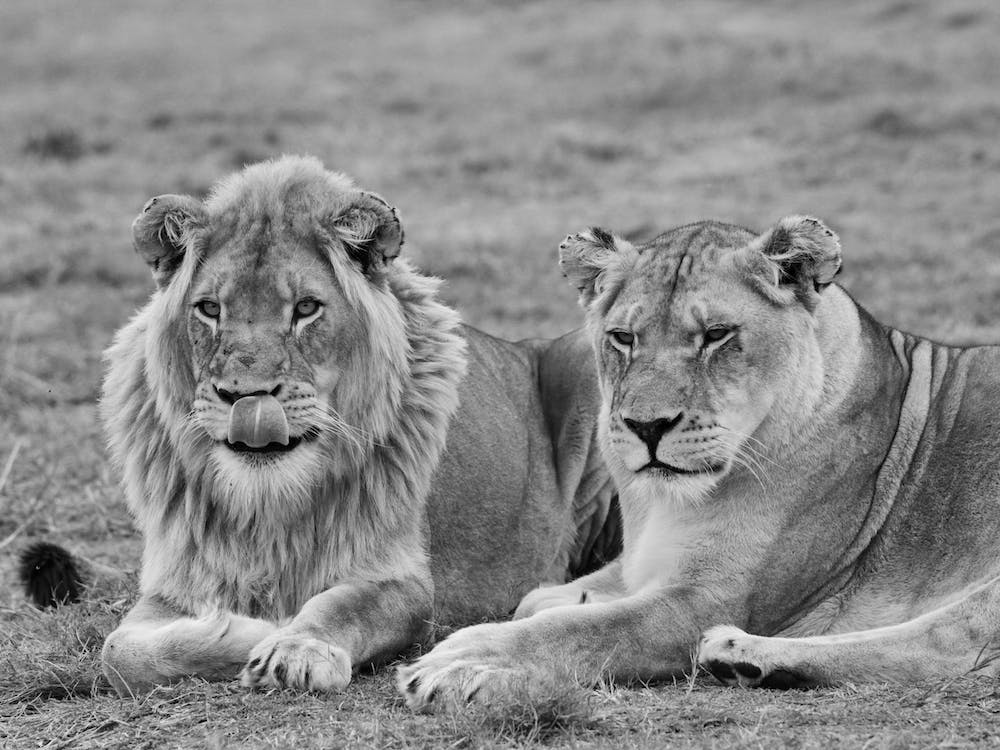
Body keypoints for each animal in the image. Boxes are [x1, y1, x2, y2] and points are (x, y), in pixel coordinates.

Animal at [97, 155, 617, 695]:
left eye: (306, 308)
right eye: (210, 309)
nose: (245, 397)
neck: (268, 501)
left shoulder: (404, 581)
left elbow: (340, 605)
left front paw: (293, 645)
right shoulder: (176, 582)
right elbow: (119, 653)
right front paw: (245, 628)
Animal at [399, 214, 1000, 710]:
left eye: (716, 335)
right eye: (623, 338)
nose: (647, 427)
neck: (665, 503)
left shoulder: (708, 598)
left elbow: (577, 630)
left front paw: (462, 660)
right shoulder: (642, 562)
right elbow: (537, 601)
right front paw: (573, 597)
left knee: (946, 642)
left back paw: (741, 653)